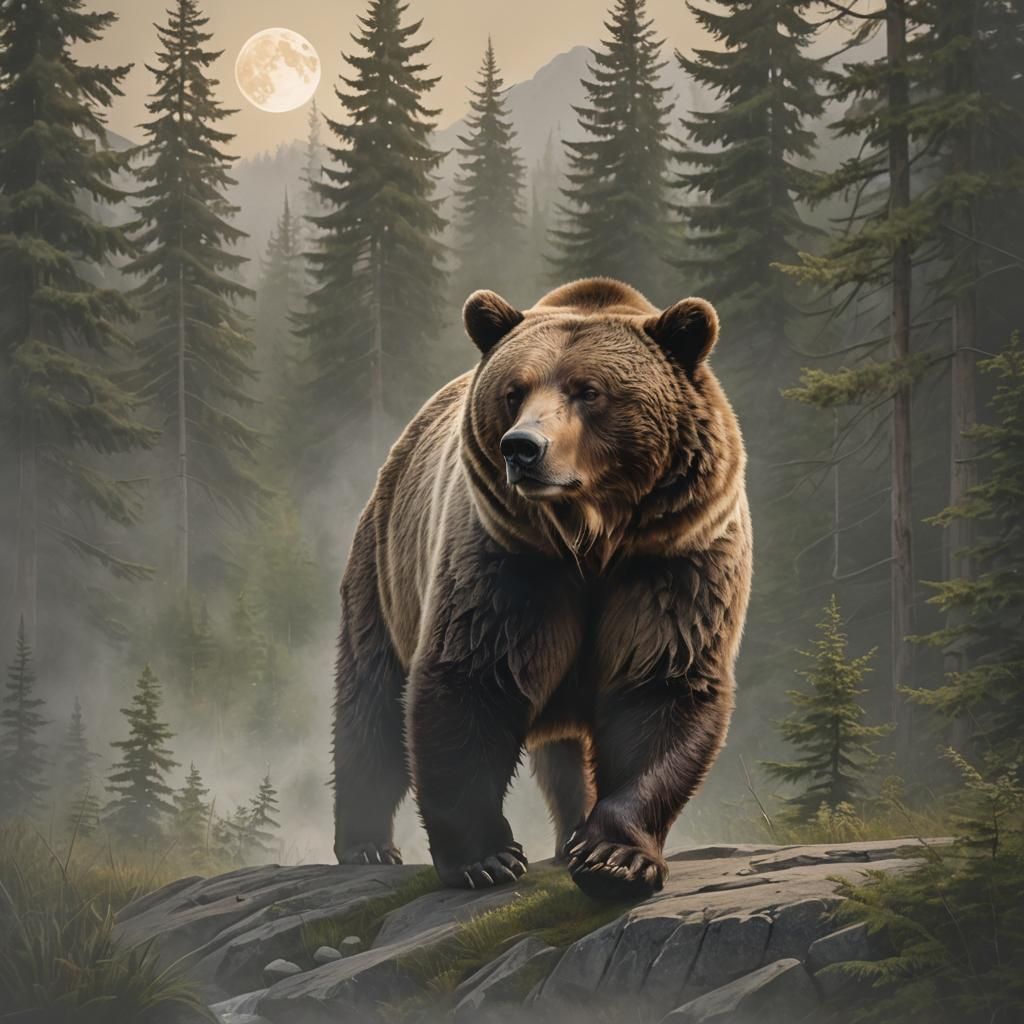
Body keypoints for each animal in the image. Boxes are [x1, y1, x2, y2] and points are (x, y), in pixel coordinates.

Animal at [332, 277, 752, 901]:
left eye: (589, 391)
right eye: (514, 391)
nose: (522, 447)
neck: (591, 538)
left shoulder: (674, 561)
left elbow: (661, 687)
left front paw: (614, 857)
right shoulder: (509, 565)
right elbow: (471, 678)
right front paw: (487, 859)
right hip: (383, 573)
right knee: (371, 701)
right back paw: (366, 844)